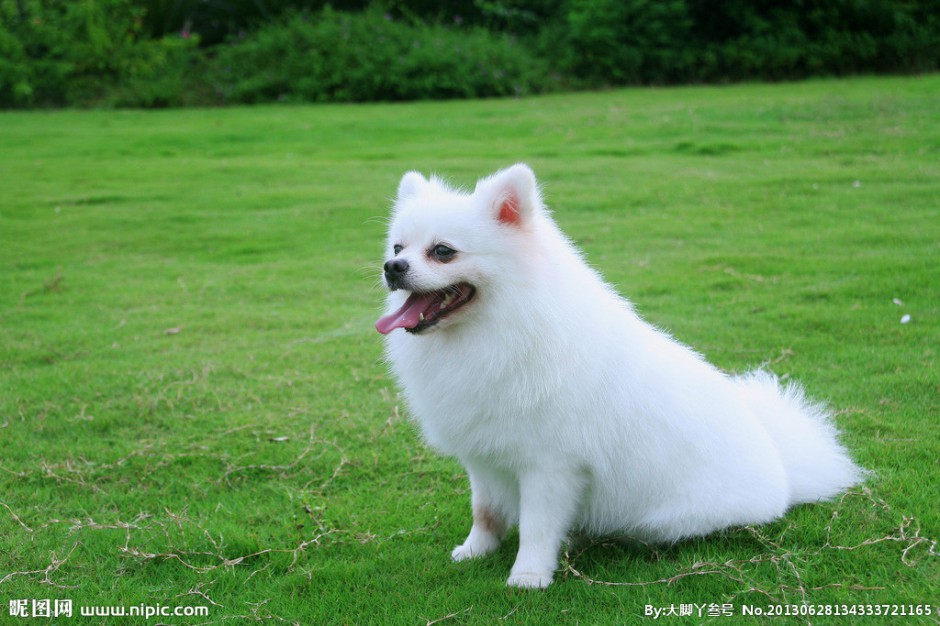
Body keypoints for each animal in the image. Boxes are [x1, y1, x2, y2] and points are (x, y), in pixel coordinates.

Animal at [374, 163, 868, 588]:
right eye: (398, 248)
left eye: (442, 252)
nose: (392, 268)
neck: (500, 330)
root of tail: (784, 469)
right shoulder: (484, 456)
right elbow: (486, 512)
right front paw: (475, 551)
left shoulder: (550, 466)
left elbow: (536, 526)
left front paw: (529, 576)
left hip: (665, 519)